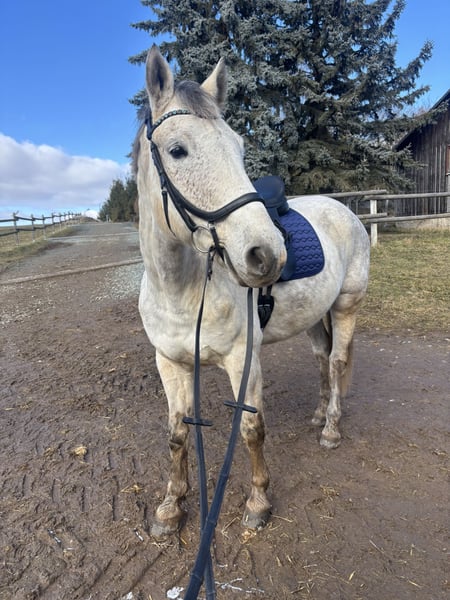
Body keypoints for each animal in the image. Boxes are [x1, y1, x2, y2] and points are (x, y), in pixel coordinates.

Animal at [133, 46, 370, 538]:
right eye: (177, 150)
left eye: (240, 148)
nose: (268, 254)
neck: (181, 290)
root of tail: (345, 210)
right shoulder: (170, 364)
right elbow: (177, 434)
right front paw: (170, 507)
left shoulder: (244, 359)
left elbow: (250, 431)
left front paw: (259, 502)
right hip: (312, 316)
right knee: (321, 357)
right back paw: (319, 414)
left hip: (345, 307)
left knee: (337, 362)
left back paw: (331, 429)